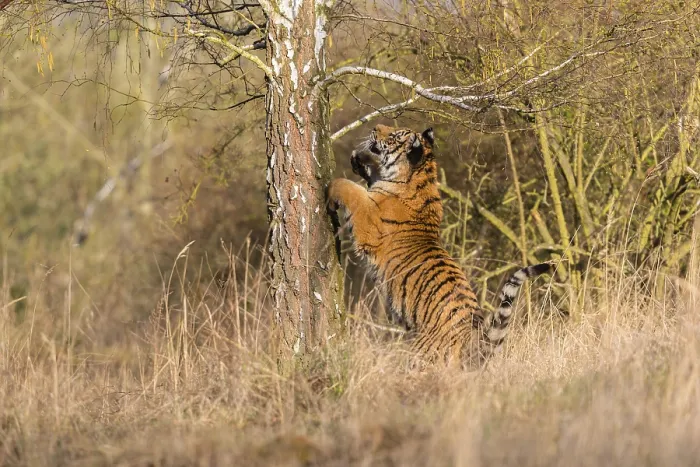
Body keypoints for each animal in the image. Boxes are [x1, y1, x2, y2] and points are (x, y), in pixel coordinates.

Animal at [327, 124, 551, 363]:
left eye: (394, 136)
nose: (375, 127)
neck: (419, 177)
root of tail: (473, 338)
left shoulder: (368, 218)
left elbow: (349, 188)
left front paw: (330, 189)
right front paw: (359, 160)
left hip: (419, 356)